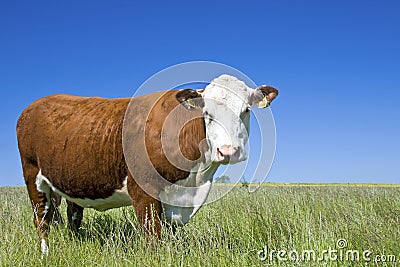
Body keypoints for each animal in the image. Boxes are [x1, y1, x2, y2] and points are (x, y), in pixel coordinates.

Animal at [16, 74, 278, 254]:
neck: (195, 180)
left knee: (73, 216)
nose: (228, 151)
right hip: (33, 177)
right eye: (207, 113)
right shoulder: (144, 191)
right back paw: (46, 253)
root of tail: (35, 104)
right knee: (41, 219)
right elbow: (153, 237)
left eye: (246, 110)